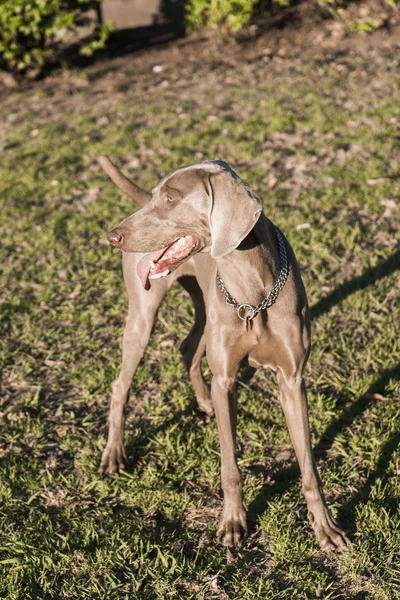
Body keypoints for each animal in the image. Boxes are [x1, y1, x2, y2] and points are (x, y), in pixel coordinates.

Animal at [97, 157, 346, 552]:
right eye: (156, 194)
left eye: (170, 198)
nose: (114, 236)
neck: (253, 291)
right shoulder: (228, 378)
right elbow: (230, 464)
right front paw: (232, 522)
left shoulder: (292, 380)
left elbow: (308, 465)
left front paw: (325, 527)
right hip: (143, 317)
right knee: (121, 384)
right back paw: (114, 454)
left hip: (204, 309)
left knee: (188, 348)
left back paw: (203, 401)